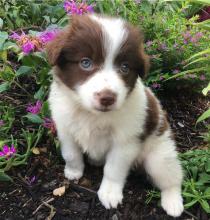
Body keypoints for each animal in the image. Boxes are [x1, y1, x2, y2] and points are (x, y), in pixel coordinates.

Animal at [47, 14, 184, 217]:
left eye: (125, 68)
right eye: (85, 62)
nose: (107, 98)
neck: (92, 115)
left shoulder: (125, 142)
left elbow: (113, 168)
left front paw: (110, 194)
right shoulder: (66, 129)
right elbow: (71, 154)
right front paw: (74, 171)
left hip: (159, 156)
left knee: (172, 178)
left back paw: (173, 203)